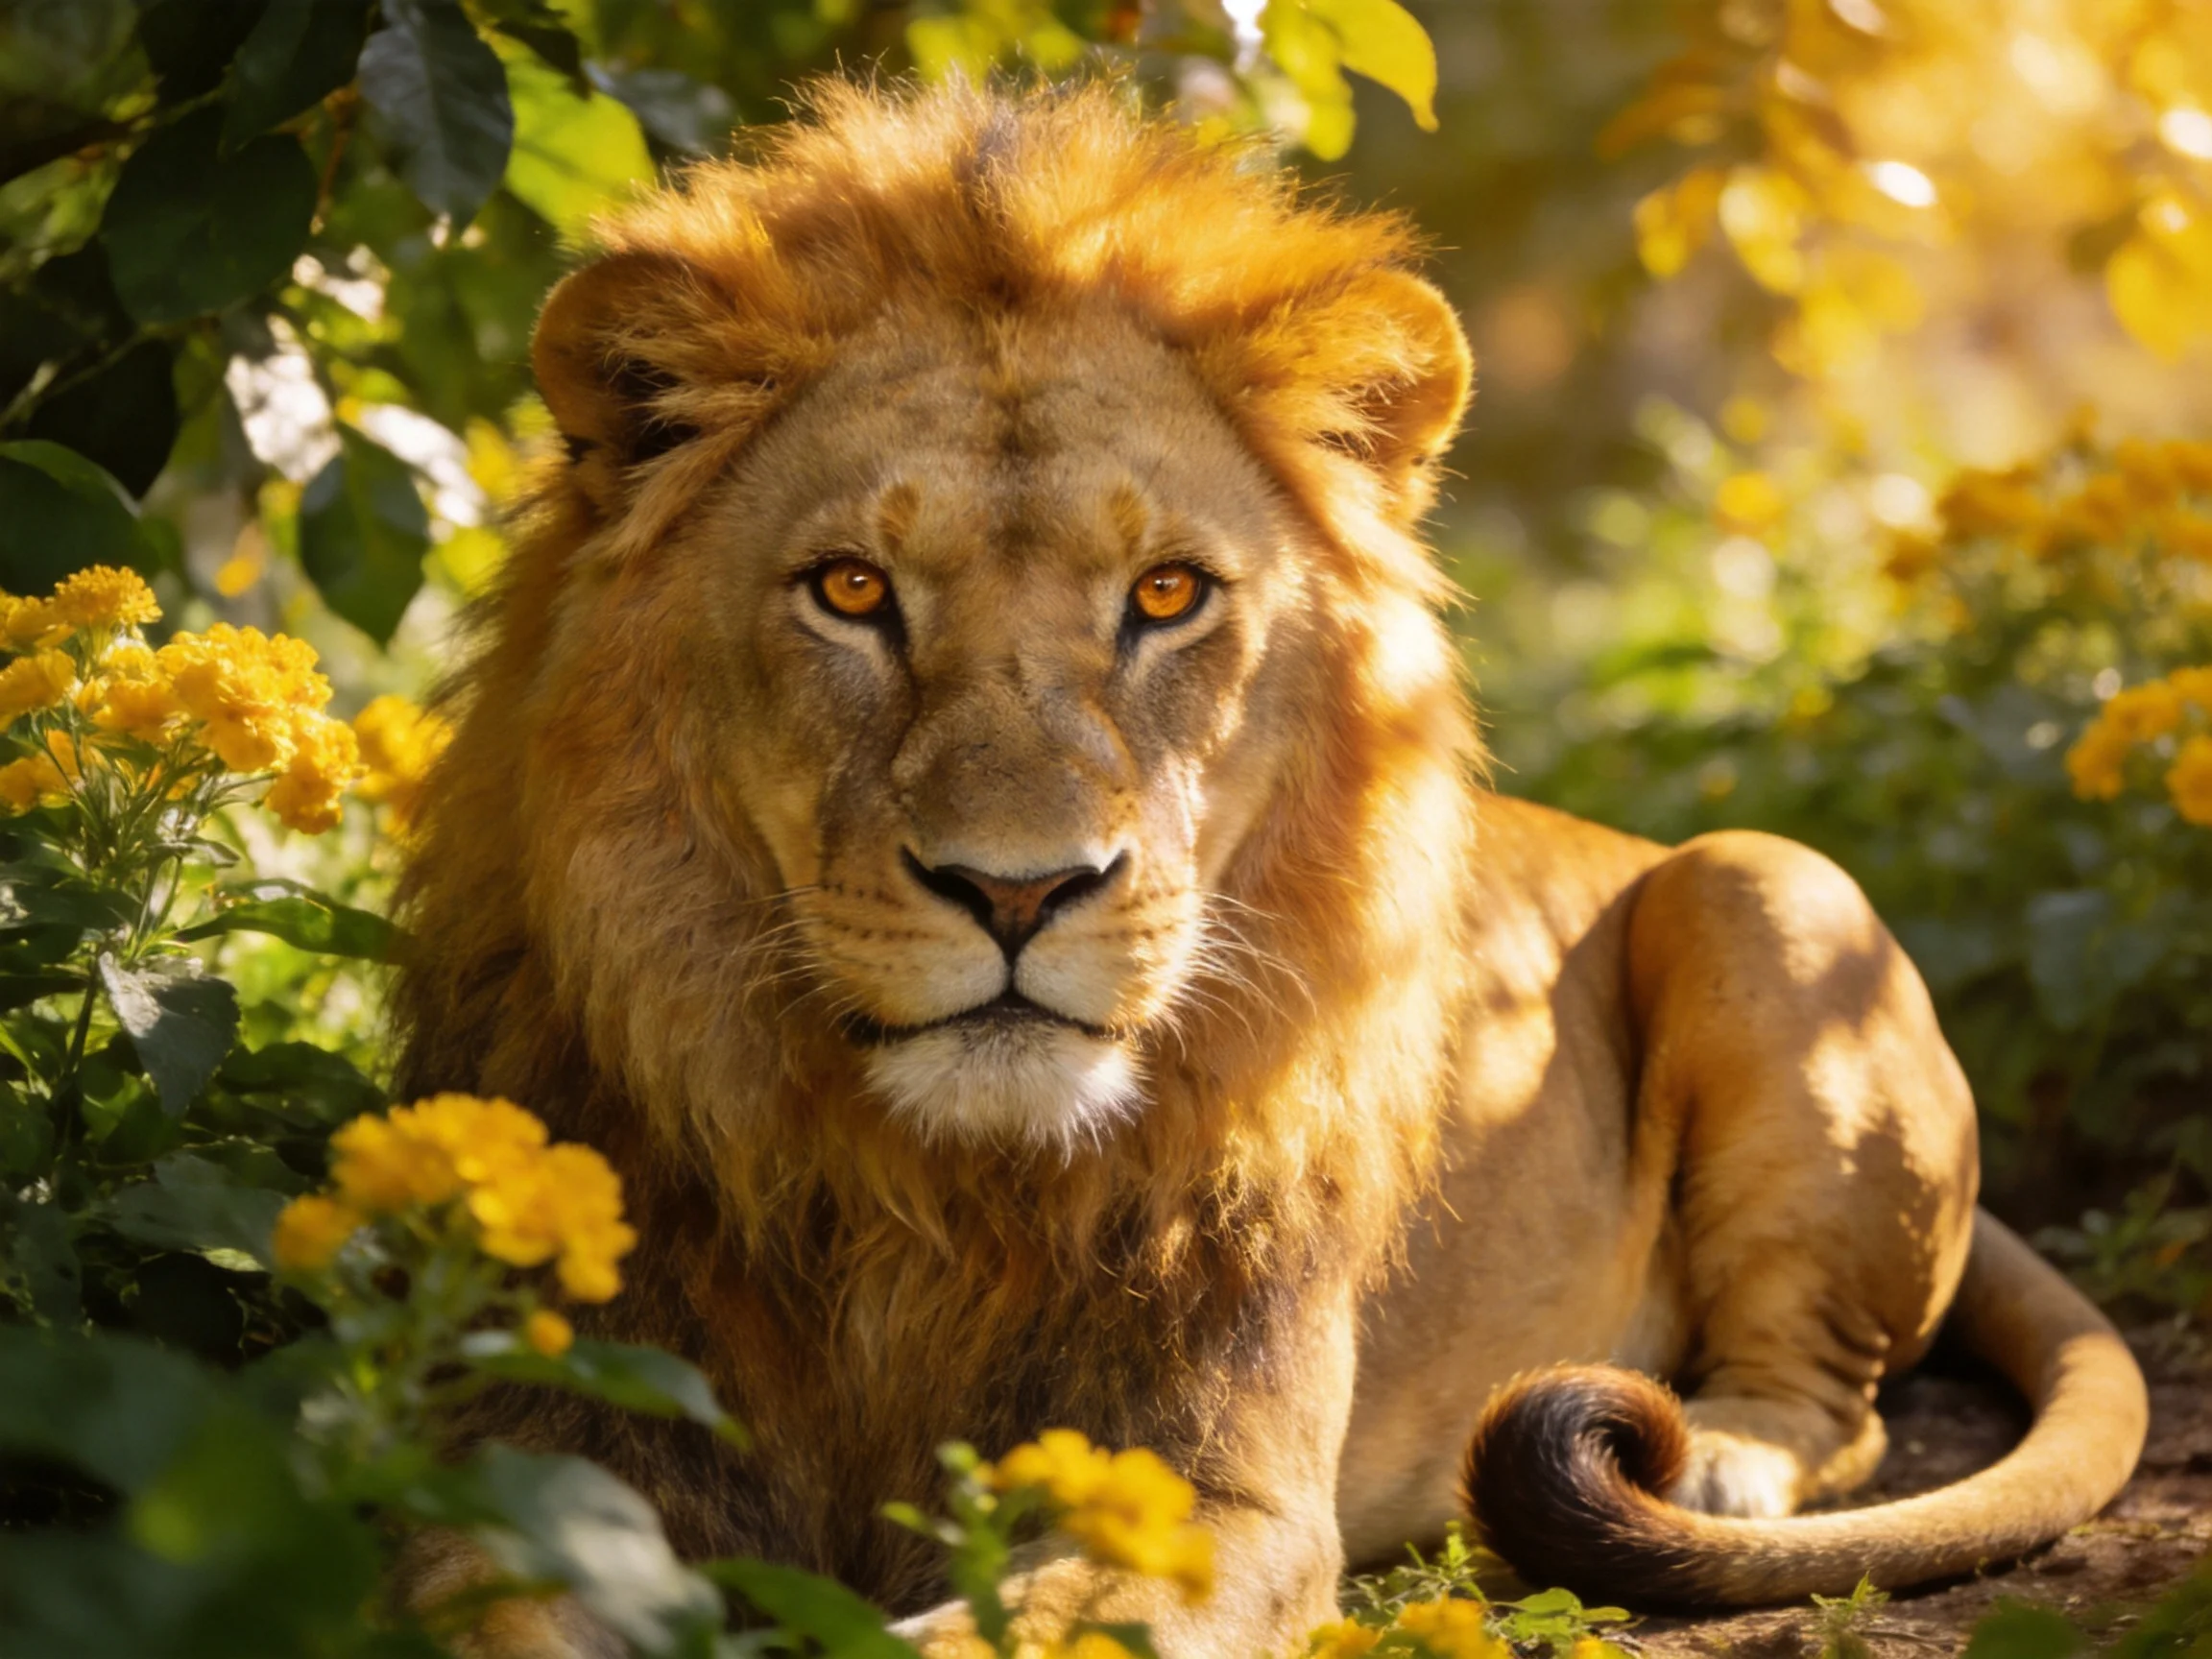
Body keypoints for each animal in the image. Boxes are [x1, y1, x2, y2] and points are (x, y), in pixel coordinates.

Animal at [391, 81, 2148, 1657]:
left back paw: (1716, 1450)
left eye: (1166, 595)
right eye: (850, 589)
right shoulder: (552, 1444)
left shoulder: (1203, 1494)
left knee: (1840, 1404)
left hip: (1768, 888)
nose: (1017, 893)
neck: (921, 1199)